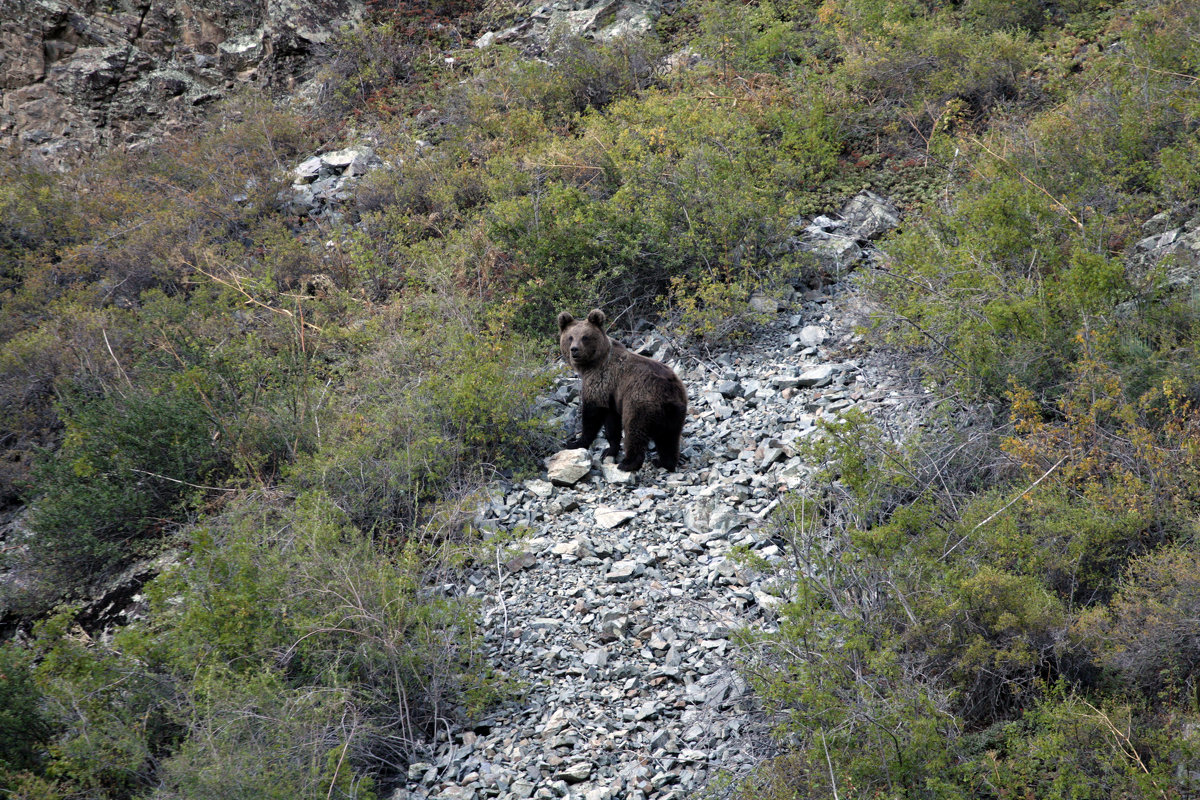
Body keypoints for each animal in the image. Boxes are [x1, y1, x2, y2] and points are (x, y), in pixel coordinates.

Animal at [554, 307, 686, 470]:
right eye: (570, 337)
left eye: (585, 337)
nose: (574, 350)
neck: (591, 364)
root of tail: (670, 390)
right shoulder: (612, 397)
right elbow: (612, 425)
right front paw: (609, 450)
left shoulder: (601, 382)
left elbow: (592, 415)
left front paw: (575, 443)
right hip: (674, 413)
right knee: (669, 439)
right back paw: (664, 462)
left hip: (641, 402)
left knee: (634, 430)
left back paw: (628, 463)